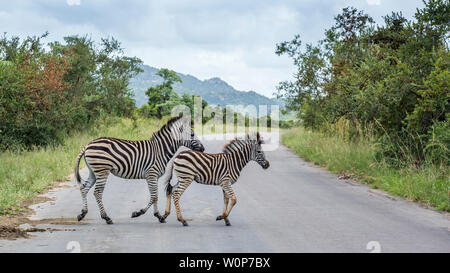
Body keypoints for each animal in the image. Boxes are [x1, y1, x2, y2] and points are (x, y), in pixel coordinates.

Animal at [74, 115, 205, 223]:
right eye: (192, 134)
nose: (203, 149)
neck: (161, 150)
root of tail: (88, 144)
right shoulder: (151, 174)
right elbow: (154, 196)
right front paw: (140, 213)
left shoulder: (153, 177)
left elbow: (155, 195)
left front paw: (158, 216)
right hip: (102, 170)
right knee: (97, 193)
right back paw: (106, 218)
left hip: (93, 171)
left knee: (84, 188)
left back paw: (82, 214)